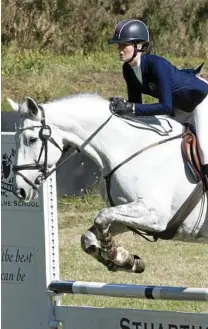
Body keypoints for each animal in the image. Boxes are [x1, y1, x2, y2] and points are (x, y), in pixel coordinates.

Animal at [7, 93, 207, 272]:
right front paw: (127, 261)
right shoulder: (127, 216)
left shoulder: (155, 214)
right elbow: (89, 235)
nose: (20, 190)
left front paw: (116, 255)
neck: (125, 148)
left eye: (32, 139)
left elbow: (101, 217)